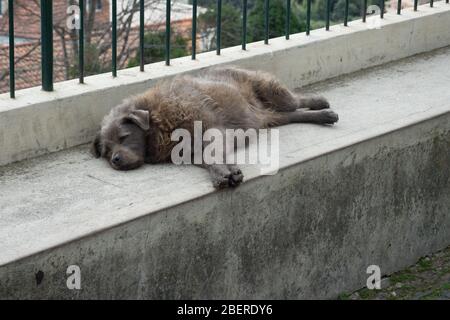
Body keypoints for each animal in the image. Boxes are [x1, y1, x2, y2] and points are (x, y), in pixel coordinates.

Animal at [90, 66, 338, 189]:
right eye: (106, 151)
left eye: (124, 137)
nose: (115, 160)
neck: (160, 122)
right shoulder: (192, 151)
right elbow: (209, 159)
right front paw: (225, 172)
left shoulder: (211, 132)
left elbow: (211, 153)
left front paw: (225, 171)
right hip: (269, 117)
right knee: (293, 114)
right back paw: (323, 116)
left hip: (273, 92)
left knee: (296, 101)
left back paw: (321, 103)